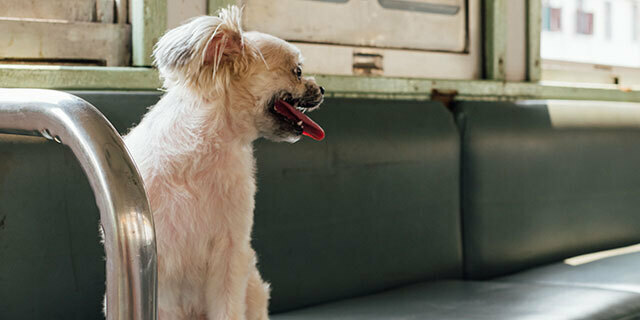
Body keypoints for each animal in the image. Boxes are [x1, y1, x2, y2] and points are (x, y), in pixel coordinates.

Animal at [122, 5, 324, 320]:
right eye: (298, 71)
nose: (322, 89)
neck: (201, 154)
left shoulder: (229, 256)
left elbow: (228, 307)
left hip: (253, 290)